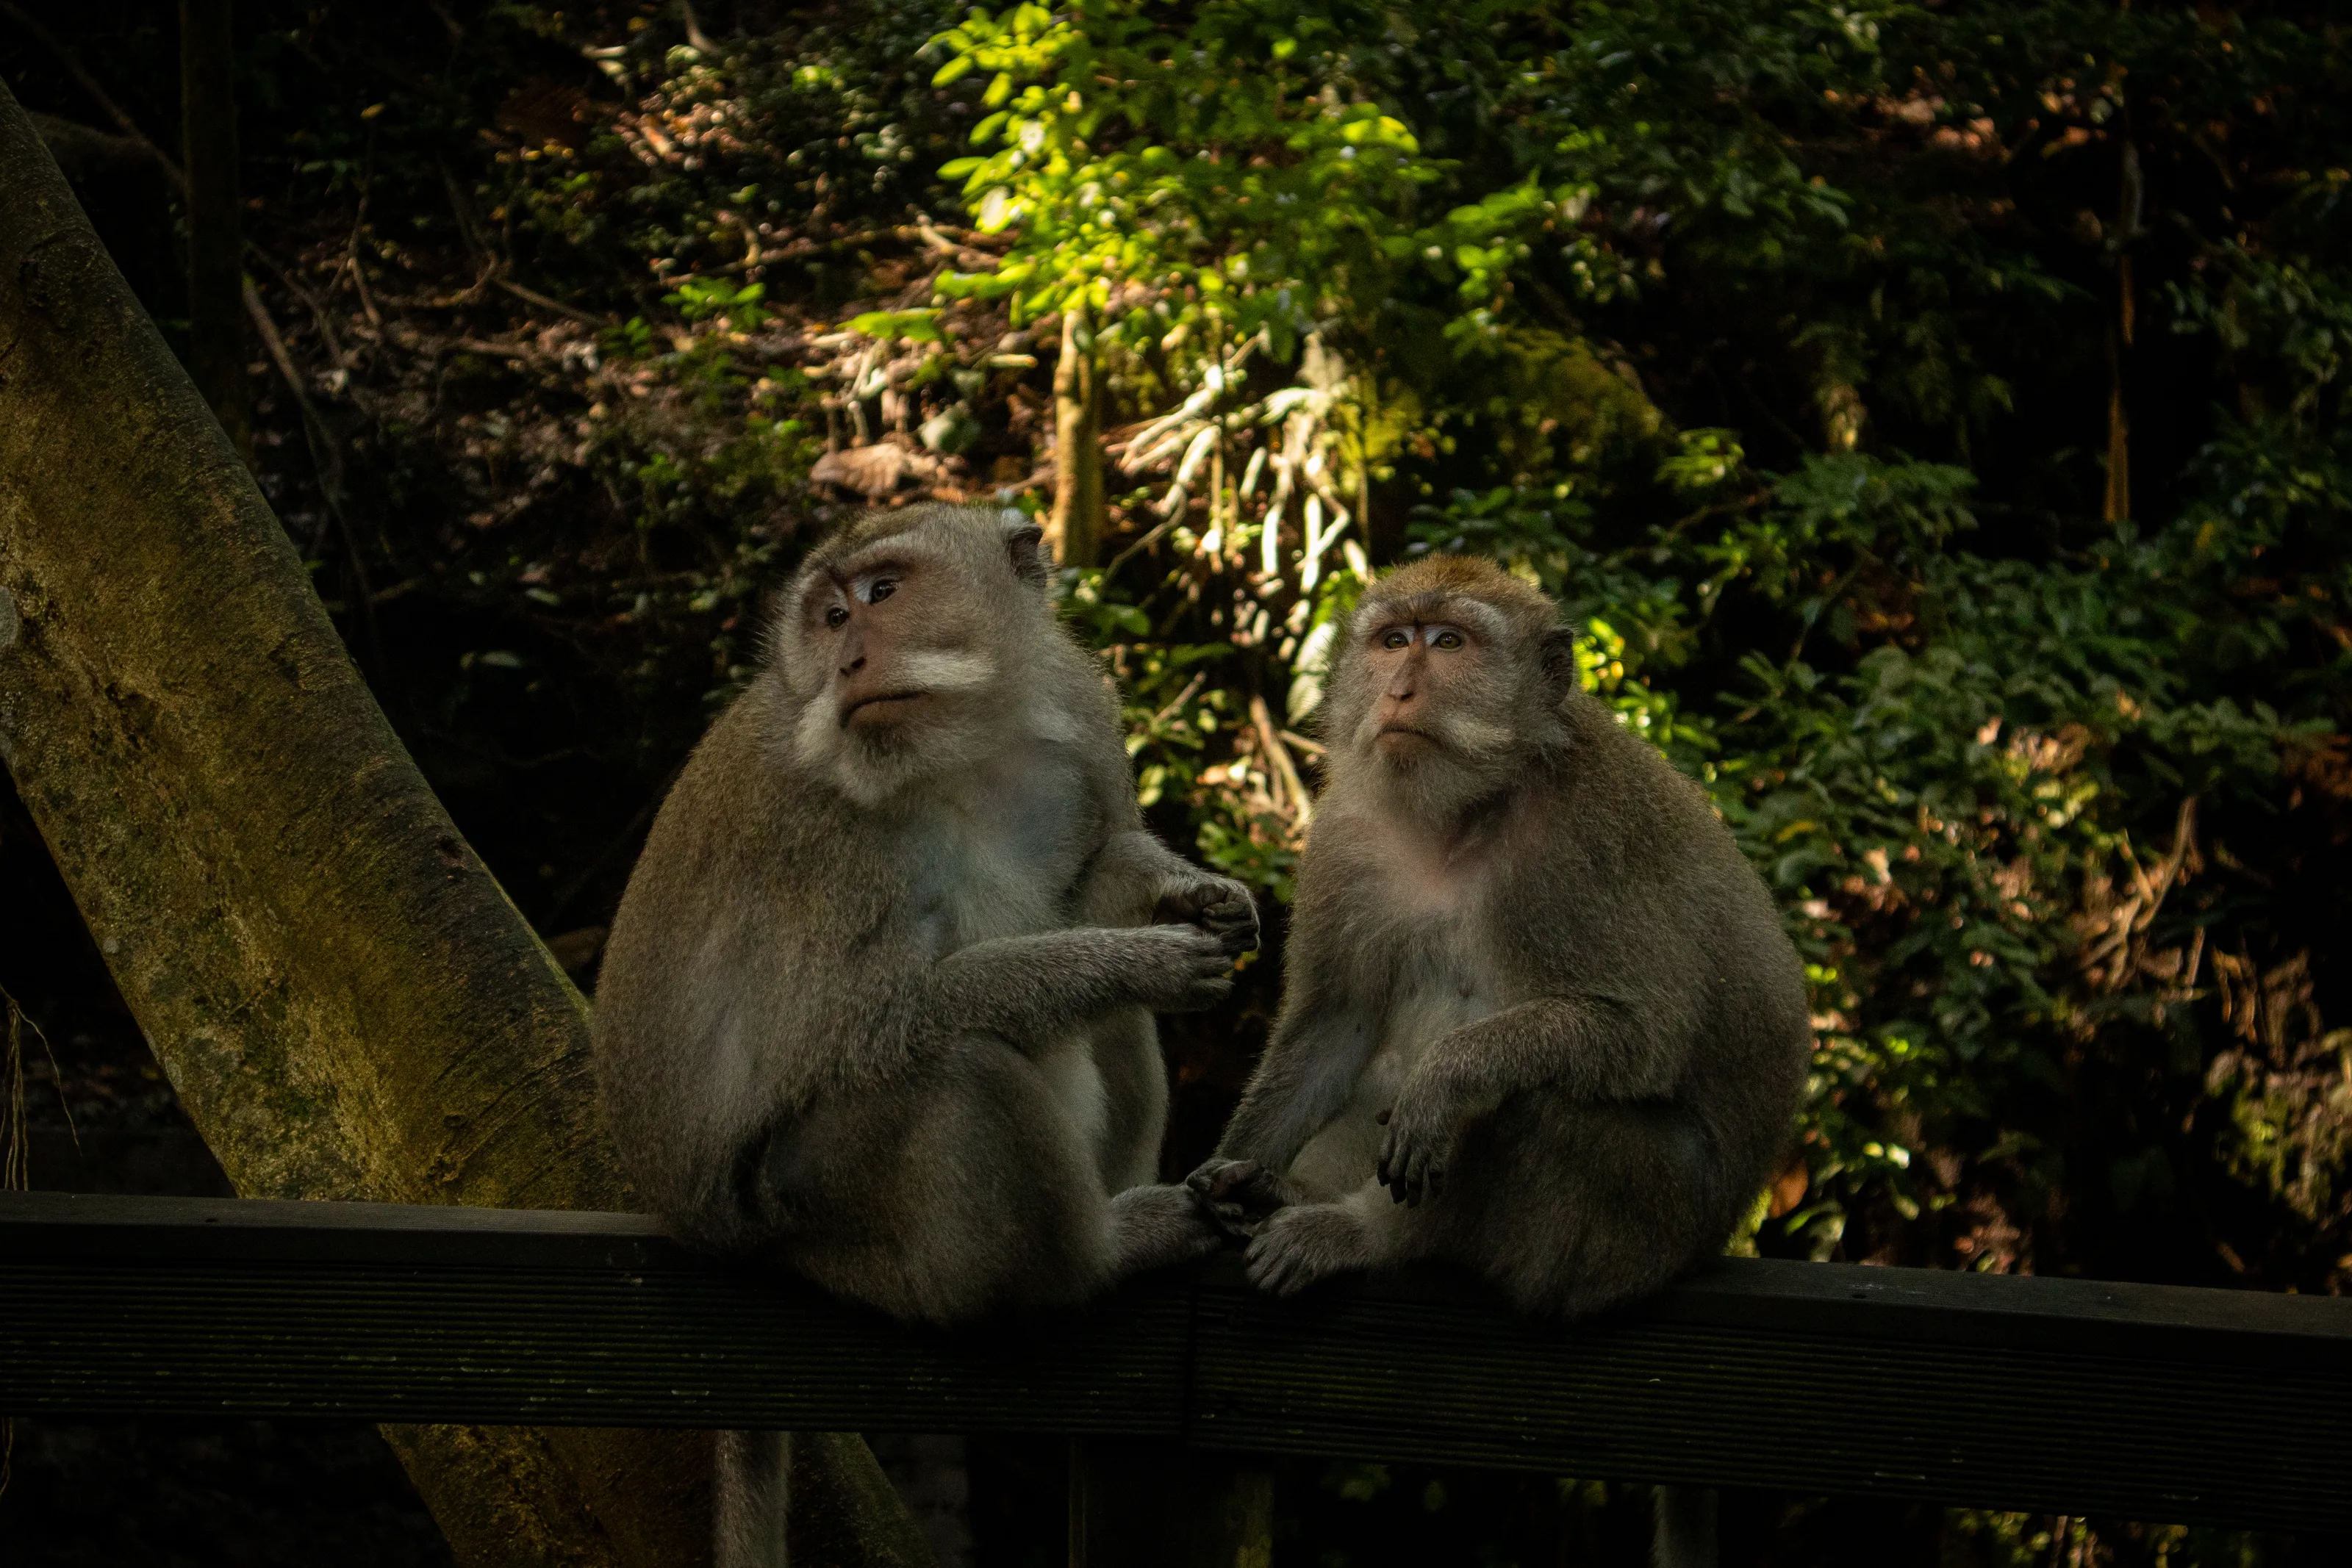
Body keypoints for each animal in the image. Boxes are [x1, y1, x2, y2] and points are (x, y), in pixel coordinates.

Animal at [1189, 556, 1806, 1565]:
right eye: (1393, 640)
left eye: (1450, 643)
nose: (1401, 689)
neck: (1461, 813)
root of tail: (1716, 1236)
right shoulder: (1348, 837)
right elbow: (1334, 1024)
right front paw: (1232, 1169)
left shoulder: (1584, 850)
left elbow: (1638, 1033)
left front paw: (1447, 1079)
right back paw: (1286, 1192)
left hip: (1638, 1230)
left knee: (1528, 1106)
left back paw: (1369, 1235)